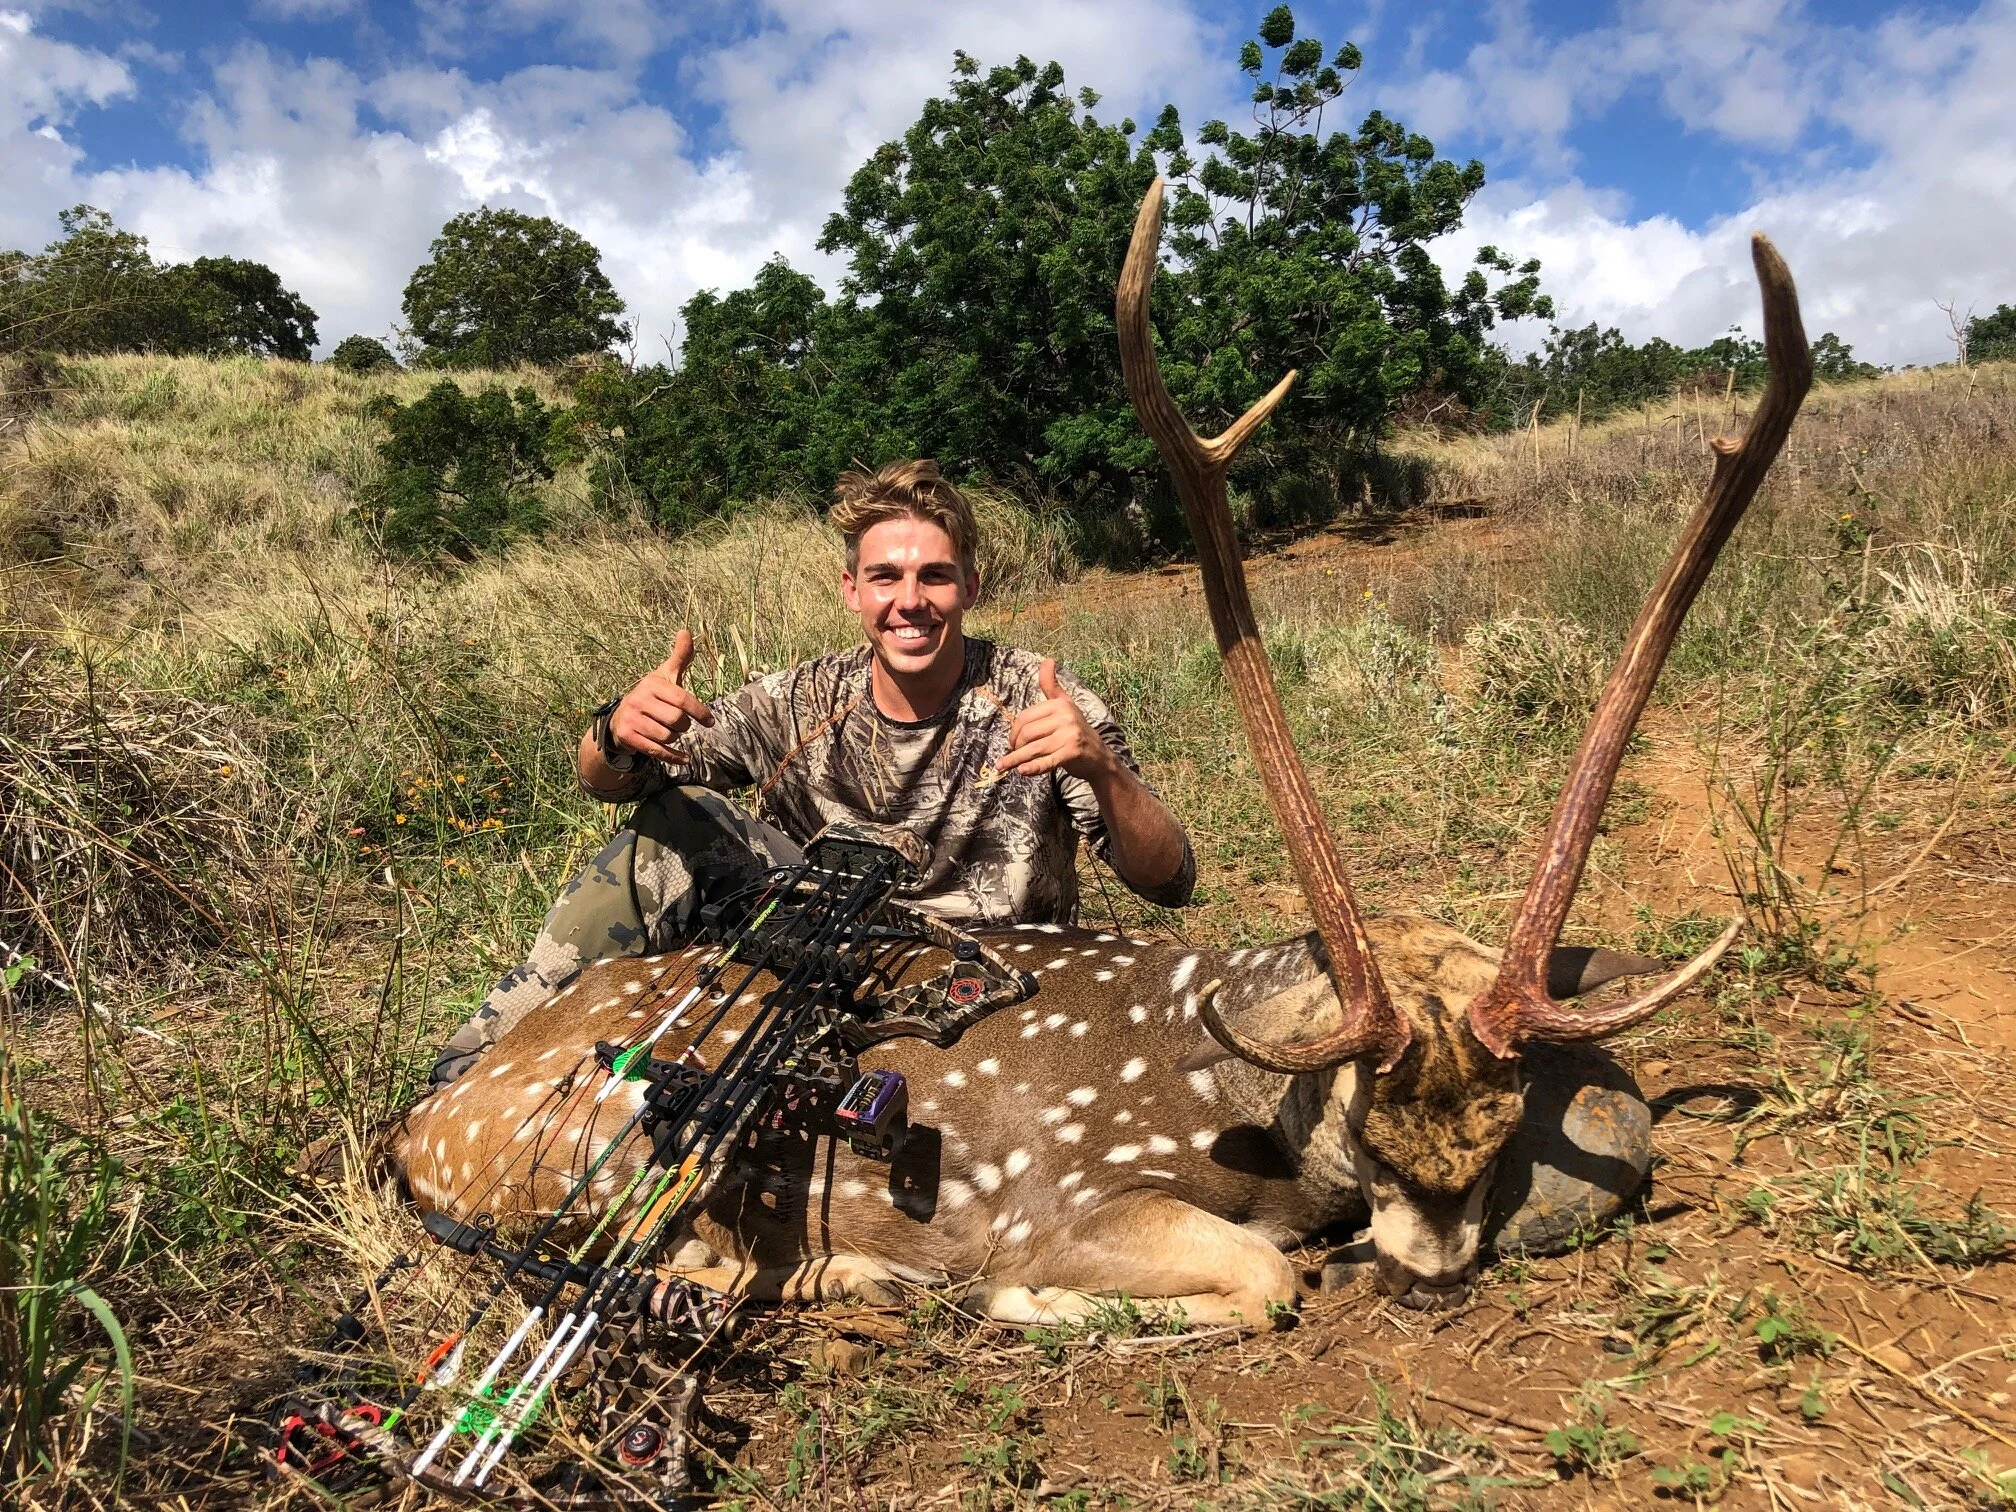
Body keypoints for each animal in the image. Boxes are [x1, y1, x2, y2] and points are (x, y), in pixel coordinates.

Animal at [385, 180, 1812, 1324]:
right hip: (598, 1140)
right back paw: (843, 1273)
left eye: (1504, 1129)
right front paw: (1018, 1297)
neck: (1247, 1100)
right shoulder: (1062, 1193)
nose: (1425, 1275)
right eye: (1368, 1125)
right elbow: (1262, 1275)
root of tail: (418, 1128)